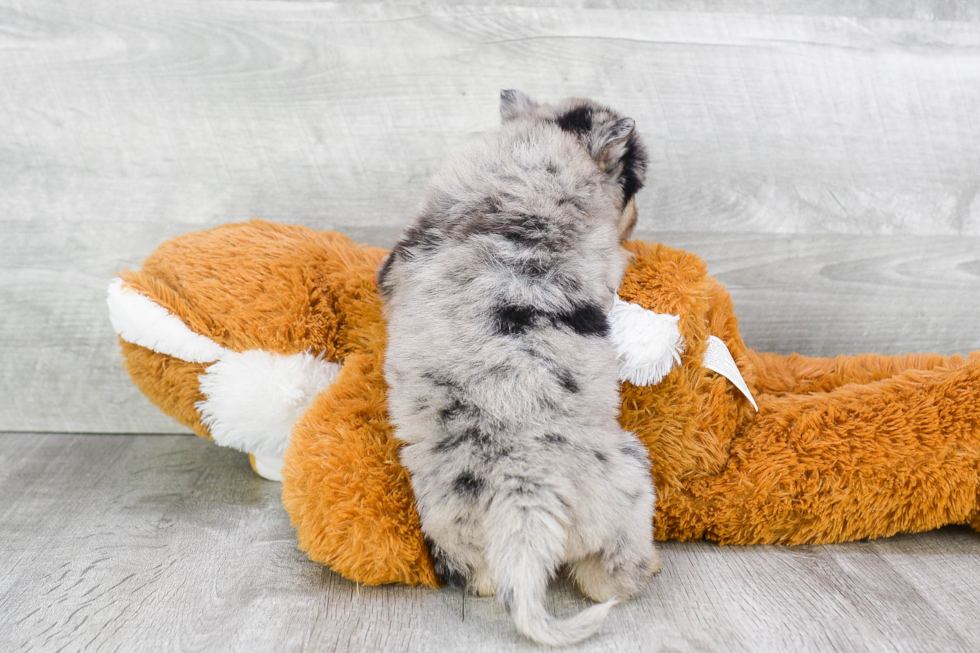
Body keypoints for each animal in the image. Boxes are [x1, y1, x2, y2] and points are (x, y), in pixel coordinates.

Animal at [378, 90, 656, 648]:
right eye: (633, 184)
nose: (639, 219)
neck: (529, 157)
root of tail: (522, 491)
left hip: (456, 526)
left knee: (484, 576)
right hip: (631, 483)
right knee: (607, 578)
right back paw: (646, 570)